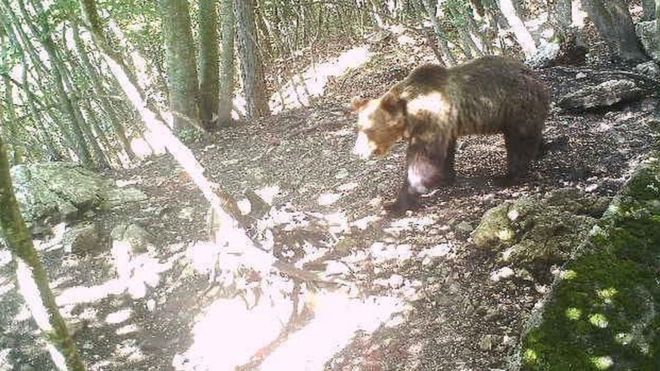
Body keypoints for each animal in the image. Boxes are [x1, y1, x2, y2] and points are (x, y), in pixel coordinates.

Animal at [354, 53, 548, 214]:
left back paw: (507, 176)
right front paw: (444, 177)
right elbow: (445, 151)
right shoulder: (445, 125)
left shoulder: (430, 119)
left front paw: (397, 203)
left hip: (515, 105)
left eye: (369, 129)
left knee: (519, 142)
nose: (357, 152)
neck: (410, 114)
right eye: (358, 127)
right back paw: (542, 150)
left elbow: (422, 158)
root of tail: (536, 77)